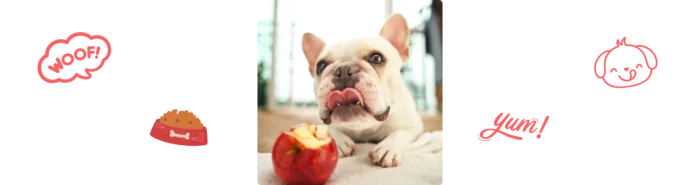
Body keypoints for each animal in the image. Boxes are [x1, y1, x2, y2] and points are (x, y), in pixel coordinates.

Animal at [300, 13, 422, 167]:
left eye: (377, 58)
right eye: (321, 66)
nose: (343, 70)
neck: (363, 128)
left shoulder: (413, 126)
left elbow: (400, 133)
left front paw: (388, 148)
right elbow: (325, 127)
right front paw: (338, 141)